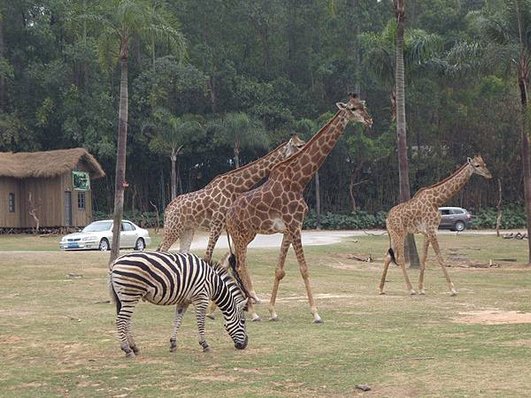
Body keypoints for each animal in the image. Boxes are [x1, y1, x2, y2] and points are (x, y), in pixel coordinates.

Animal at [109, 252, 249, 358]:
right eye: (243, 321)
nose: (245, 345)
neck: (214, 284)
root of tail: (115, 262)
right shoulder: (201, 299)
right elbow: (201, 323)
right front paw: (205, 344)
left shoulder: (184, 301)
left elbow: (178, 321)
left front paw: (173, 344)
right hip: (130, 294)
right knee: (121, 320)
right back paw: (127, 349)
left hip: (124, 297)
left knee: (126, 321)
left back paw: (134, 347)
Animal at [158, 135, 306, 262]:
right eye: (299, 145)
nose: (306, 150)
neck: (235, 187)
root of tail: (167, 209)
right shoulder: (216, 223)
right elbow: (208, 256)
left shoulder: (229, 225)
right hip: (173, 227)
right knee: (162, 250)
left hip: (187, 229)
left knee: (181, 252)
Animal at [227, 95, 372, 322]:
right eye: (353, 108)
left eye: (364, 106)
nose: (369, 120)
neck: (299, 180)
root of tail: (227, 214)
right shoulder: (295, 225)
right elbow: (304, 269)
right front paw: (316, 313)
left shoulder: (289, 228)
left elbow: (279, 269)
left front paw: (273, 311)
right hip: (240, 234)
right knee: (240, 265)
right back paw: (252, 312)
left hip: (247, 234)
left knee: (235, 262)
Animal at [380, 155, 492, 296]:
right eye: (477, 165)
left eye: (484, 164)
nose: (489, 174)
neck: (437, 200)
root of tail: (387, 219)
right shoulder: (432, 230)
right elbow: (439, 257)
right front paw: (452, 289)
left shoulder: (427, 232)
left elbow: (423, 258)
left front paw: (421, 288)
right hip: (399, 233)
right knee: (399, 258)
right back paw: (410, 289)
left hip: (397, 234)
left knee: (388, 256)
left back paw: (381, 288)